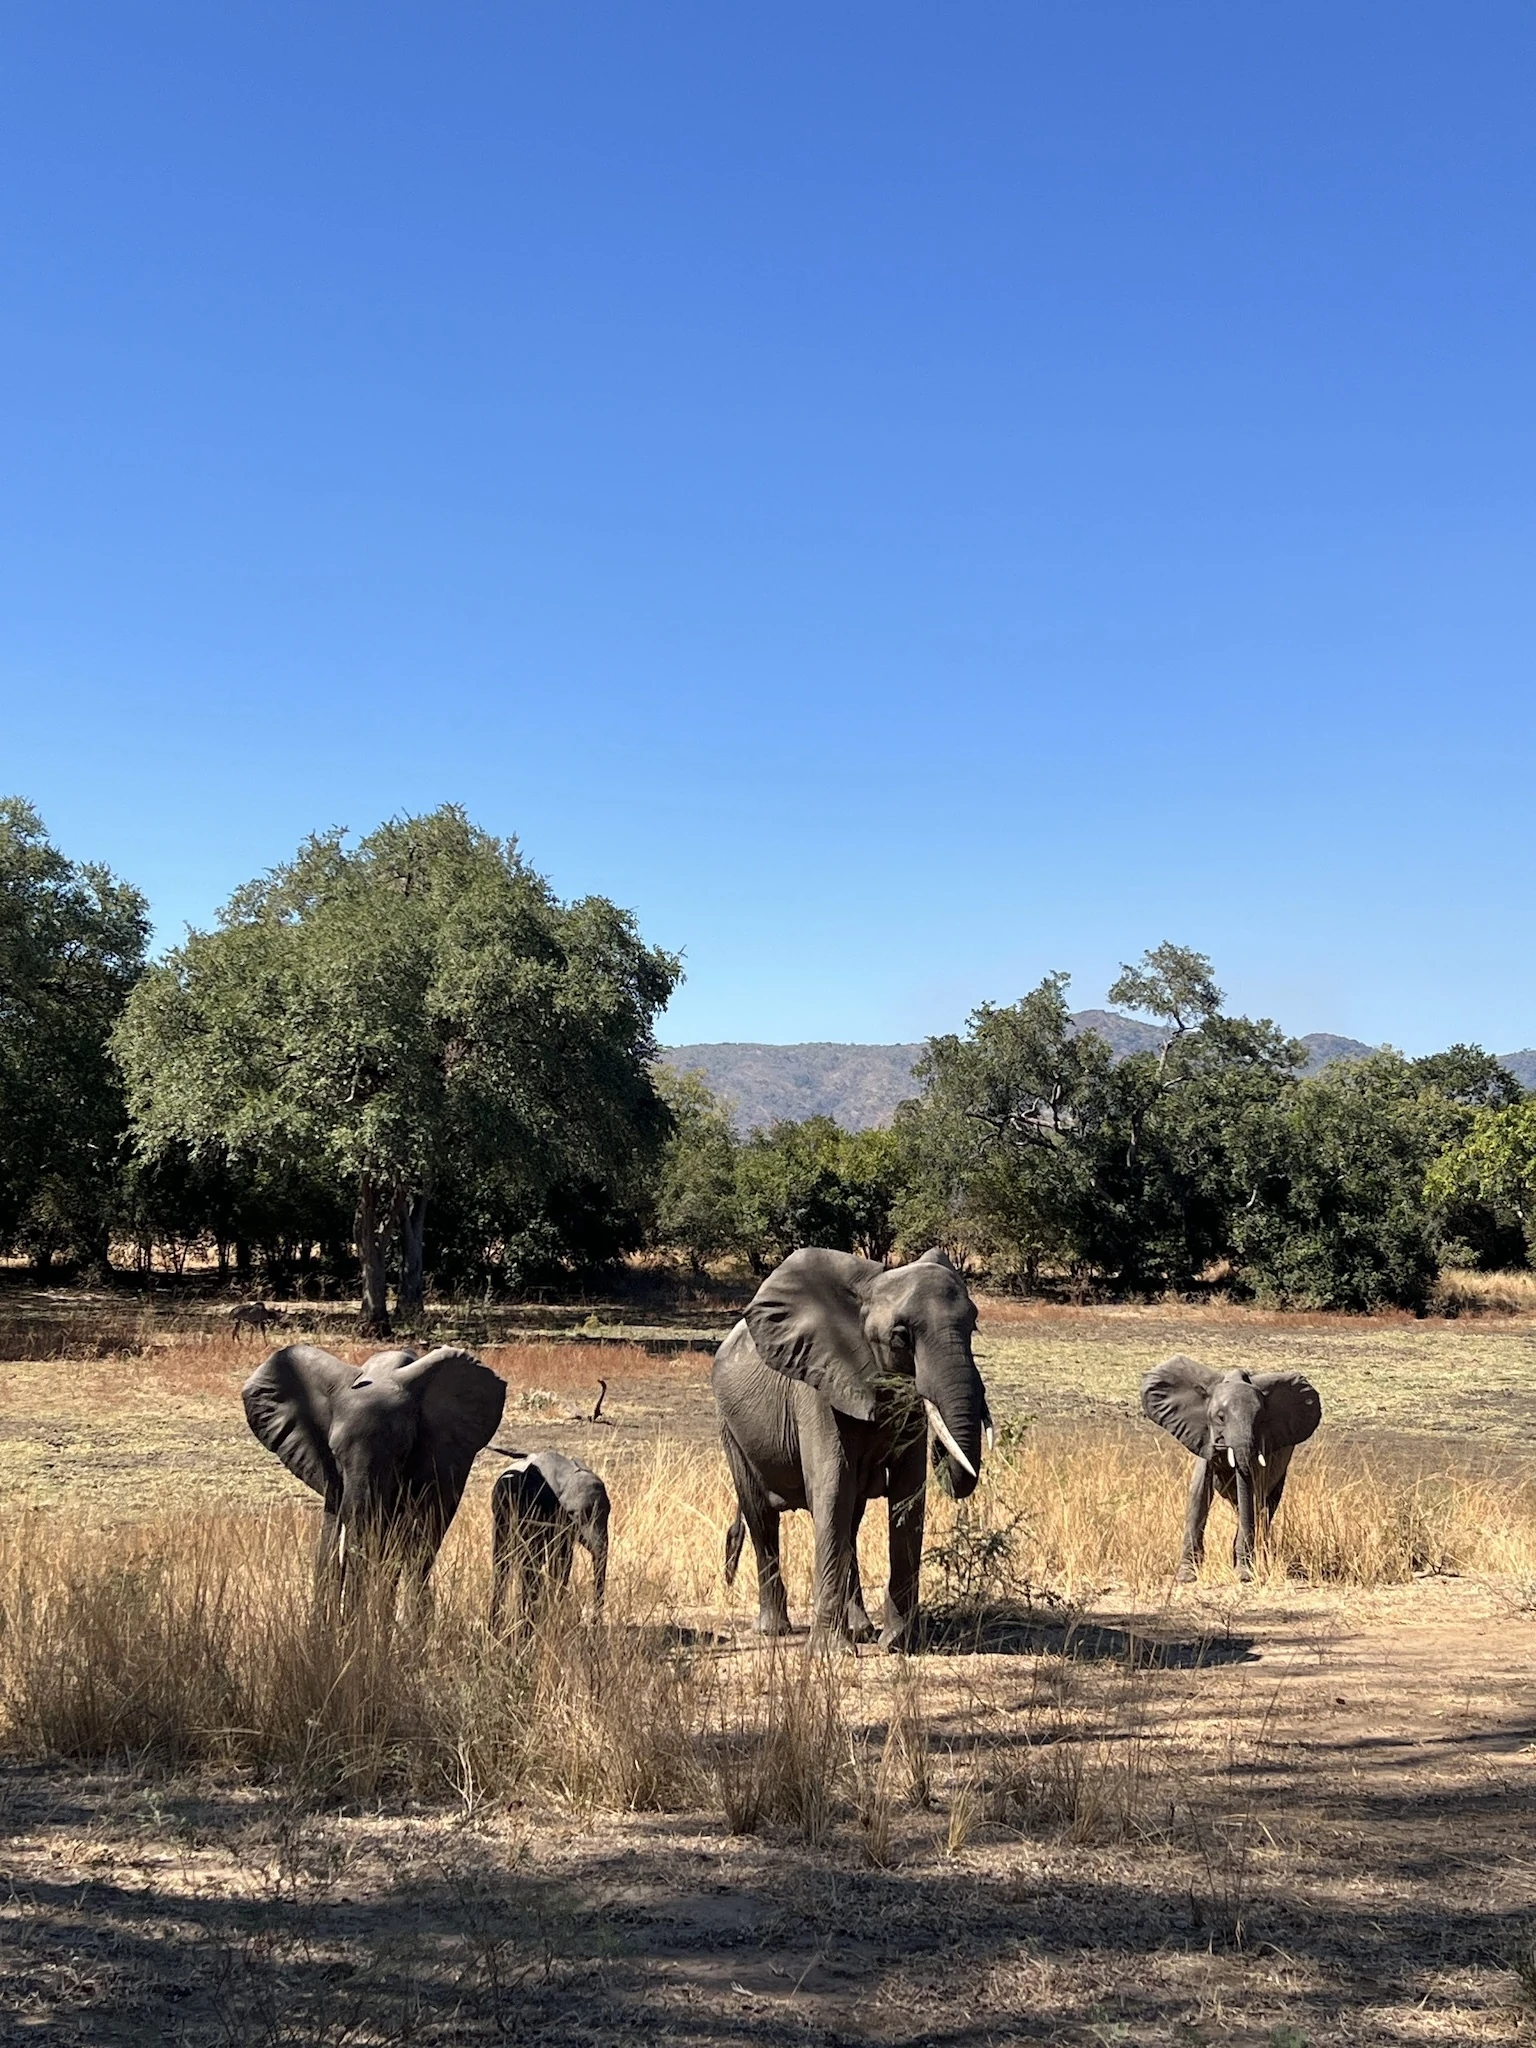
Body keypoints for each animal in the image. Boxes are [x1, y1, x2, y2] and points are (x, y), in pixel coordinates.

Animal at [488, 1449, 610, 1630]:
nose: (594, 1621)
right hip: (502, 1513)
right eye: (576, 1515)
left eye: (608, 1513)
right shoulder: (537, 1510)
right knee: (505, 1562)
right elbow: (536, 1561)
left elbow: (562, 1561)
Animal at [713, 1245, 989, 1650]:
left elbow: (908, 1497)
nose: (943, 1447)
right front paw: (831, 1651)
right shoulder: (818, 1384)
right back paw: (774, 1631)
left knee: (851, 1521)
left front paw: (899, 1644)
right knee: (761, 1514)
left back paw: (861, 1630)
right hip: (730, 1427)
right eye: (900, 1337)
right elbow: (833, 1489)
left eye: (973, 1327)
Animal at [1140, 1355, 1322, 1582]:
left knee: (1264, 1505)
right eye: (1220, 1417)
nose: (1244, 1575)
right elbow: (1198, 1493)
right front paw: (1187, 1576)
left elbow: (1251, 1495)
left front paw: (1244, 1573)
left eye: (1261, 1419)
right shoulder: (1203, 1436)